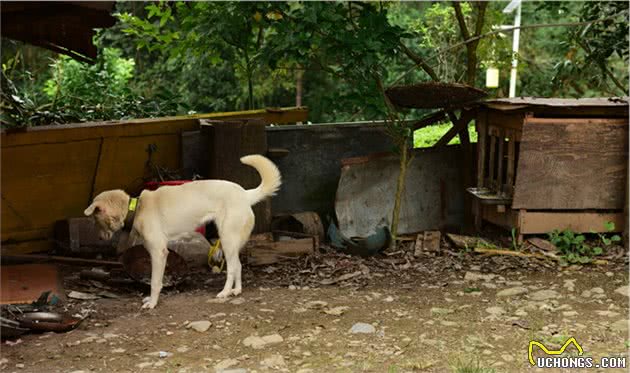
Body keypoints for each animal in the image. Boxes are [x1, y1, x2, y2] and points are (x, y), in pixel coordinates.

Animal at [84, 154, 282, 308]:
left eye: (95, 220)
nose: (100, 238)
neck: (137, 208)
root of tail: (245, 194)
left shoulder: (159, 252)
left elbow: (155, 282)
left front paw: (153, 303)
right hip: (231, 243)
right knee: (239, 265)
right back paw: (236, 291)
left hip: (227, 239)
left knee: (233, 268)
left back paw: (225, 292)